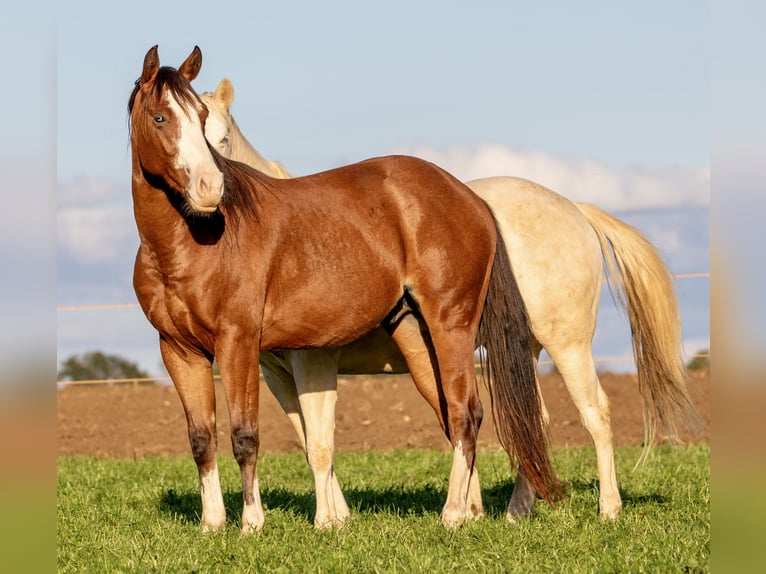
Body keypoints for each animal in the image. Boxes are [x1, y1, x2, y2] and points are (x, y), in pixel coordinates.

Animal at [128, 45, 562, 534]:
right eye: (161, 117)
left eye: (203, 118)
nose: (210, 188)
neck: (193, 244)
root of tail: (470, 198)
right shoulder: (179, 351)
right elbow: (203, 438)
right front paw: (212, 525)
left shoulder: (238, 342)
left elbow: (247, 435)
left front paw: (253, 524)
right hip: (416, 336)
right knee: (456, 415)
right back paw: (470, 511)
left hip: (455, 325)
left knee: (469, 411)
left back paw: (454, 515)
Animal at [200, 77, 702, 527]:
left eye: (222, 137)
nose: (208, 193)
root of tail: (574, 209)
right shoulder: (274, 373)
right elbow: (307, 442)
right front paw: (340, 515)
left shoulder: (314, 361)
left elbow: (321, 443)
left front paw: (330, 521)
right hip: (519, 351)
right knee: (530, 418)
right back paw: (515, 512)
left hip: (568, 345)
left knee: (595, 413)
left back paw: (608, 508)